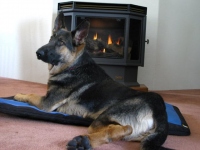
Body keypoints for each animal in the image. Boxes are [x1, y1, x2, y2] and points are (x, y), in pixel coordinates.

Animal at [13, 12, 169, 149]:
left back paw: (84, 141)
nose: (37, 53)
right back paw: (84, 142)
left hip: (102, 118)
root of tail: (158, 105)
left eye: (60, 43)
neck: (73, 65)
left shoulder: (46, 103)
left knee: (124, 128)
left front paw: (18, 95)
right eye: (50, 39)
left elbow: (30, 94)